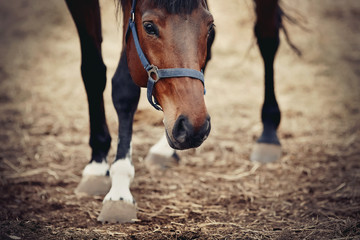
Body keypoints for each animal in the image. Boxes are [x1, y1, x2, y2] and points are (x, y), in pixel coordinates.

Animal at [65, 0, 282, 223]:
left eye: (209, 26)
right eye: (149, 27)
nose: (194, 128)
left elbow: (124, 86)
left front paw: (119, 191)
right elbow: (93, 72)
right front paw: (97, 165)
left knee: (268, 37)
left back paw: (268, 135)